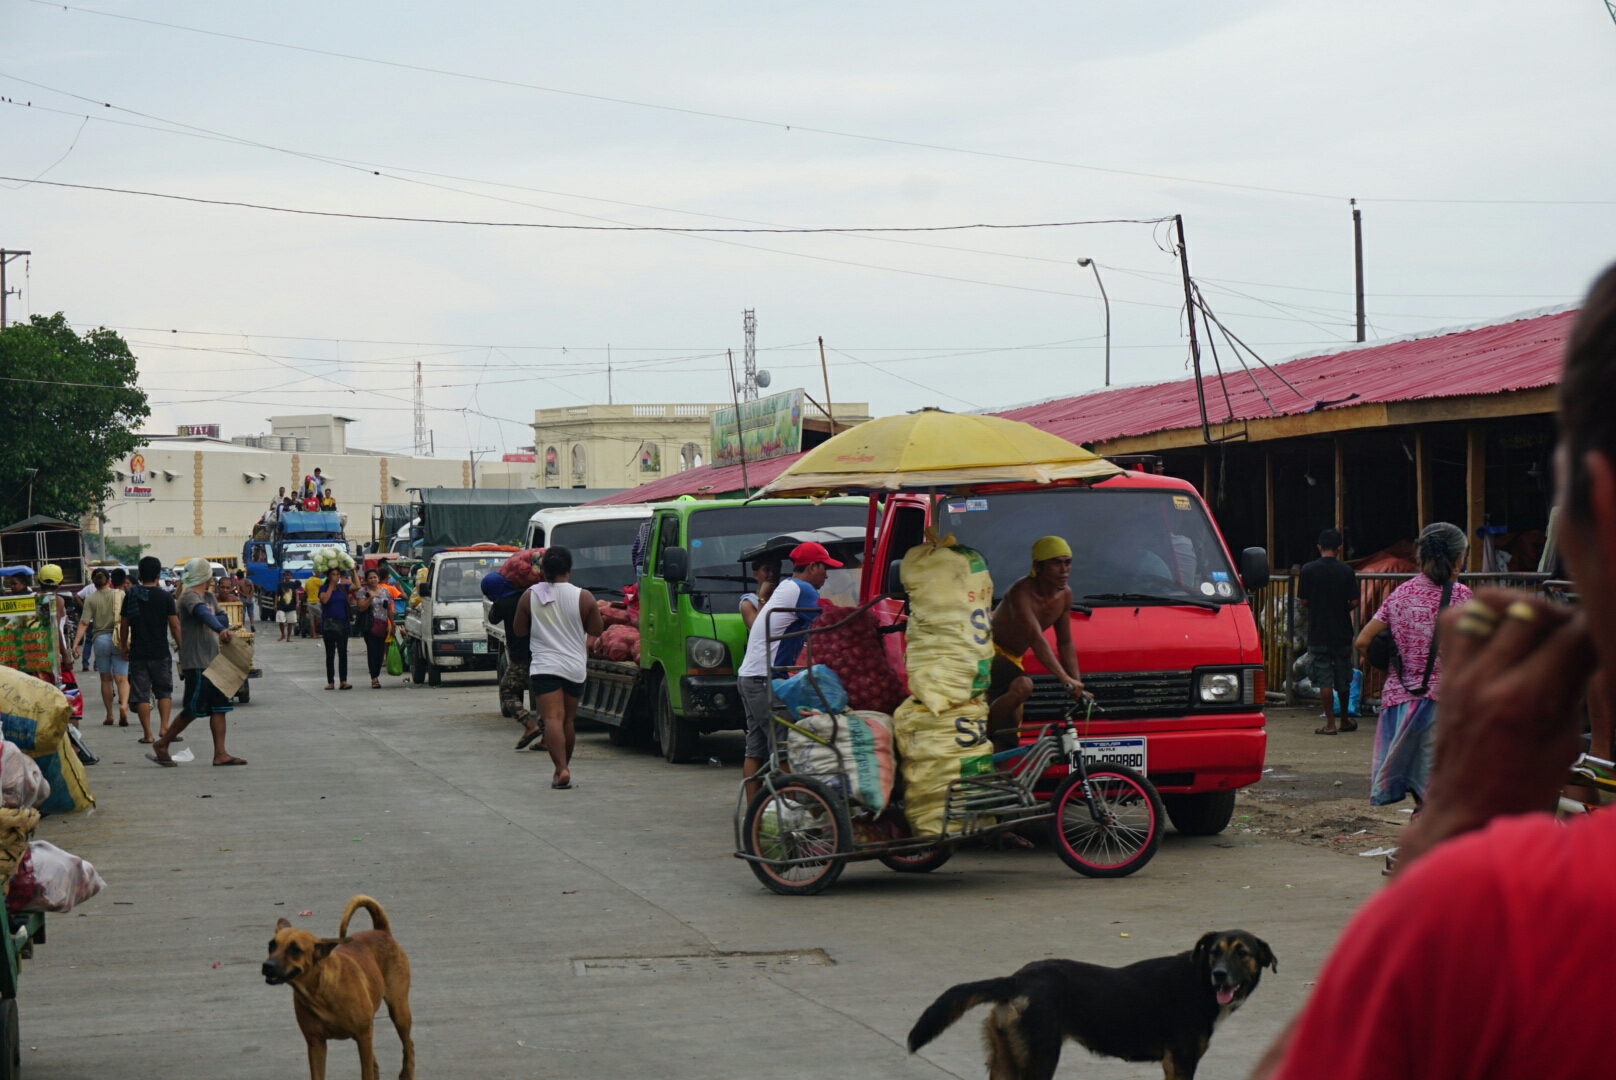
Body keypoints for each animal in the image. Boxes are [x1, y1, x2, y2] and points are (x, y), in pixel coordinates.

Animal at [263, 892, 416, 1080]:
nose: (267, 966)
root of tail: (381, 931)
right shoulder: (316, 1043)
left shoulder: (363, 1035)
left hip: (398, 1011)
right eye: (271, 945)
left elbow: (366, 1073)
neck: (320, 991)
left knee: (408, 1045)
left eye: (295, 949)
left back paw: (407, 1072)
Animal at [911, 931, 1273, 1080]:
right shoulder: (1181, 1061)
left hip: (1006, 1063)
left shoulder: (1172, 1066)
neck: (1198, 981)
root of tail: (1015, 980)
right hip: (1039, 1060)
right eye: (1214, 952)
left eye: (1242, 953)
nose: (1219, 975)